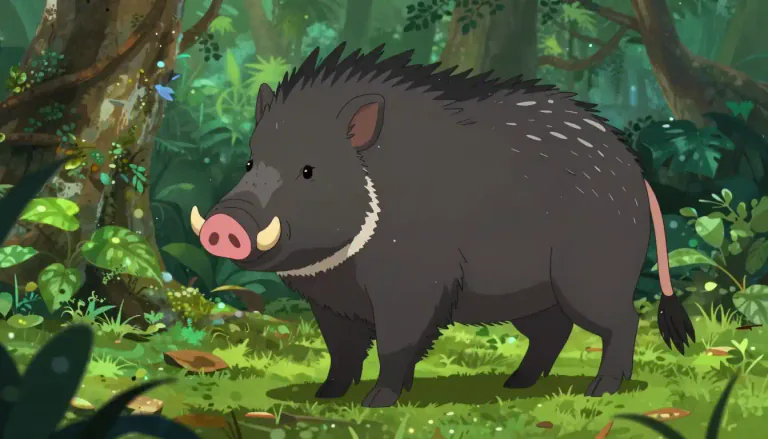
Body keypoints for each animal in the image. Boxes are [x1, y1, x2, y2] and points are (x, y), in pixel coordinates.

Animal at [191, 43, 696, 408]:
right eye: (251, 162)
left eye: (309, 170)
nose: (224, 226)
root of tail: (638, 175)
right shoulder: (331, 302)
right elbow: (342, 350)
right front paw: (327, 395)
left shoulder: (413, 287)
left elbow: (396, 345)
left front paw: (377, 402)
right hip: (533, 293)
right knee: (553, 332)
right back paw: (516, 385)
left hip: (590, 276)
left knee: (622, 321)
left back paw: (600, 390)